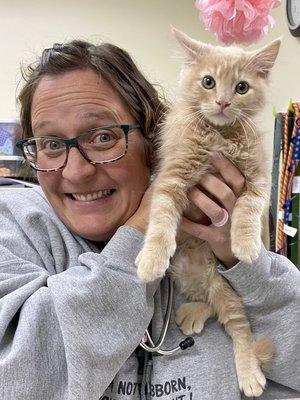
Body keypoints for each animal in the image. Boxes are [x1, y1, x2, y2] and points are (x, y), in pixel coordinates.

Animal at [136, 28, 282, 396]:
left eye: (241, 87)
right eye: (208, 82)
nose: (223, 102)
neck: (219, 136)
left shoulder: (258, 177)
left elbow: (247, 208)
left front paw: (245, 243)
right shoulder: (171, 178)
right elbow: (161, 221)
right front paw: (152, 259)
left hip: (223, 285)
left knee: (238, 325)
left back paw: (249, 373)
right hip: (190, 277)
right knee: (207, 303)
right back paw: (192, 313)